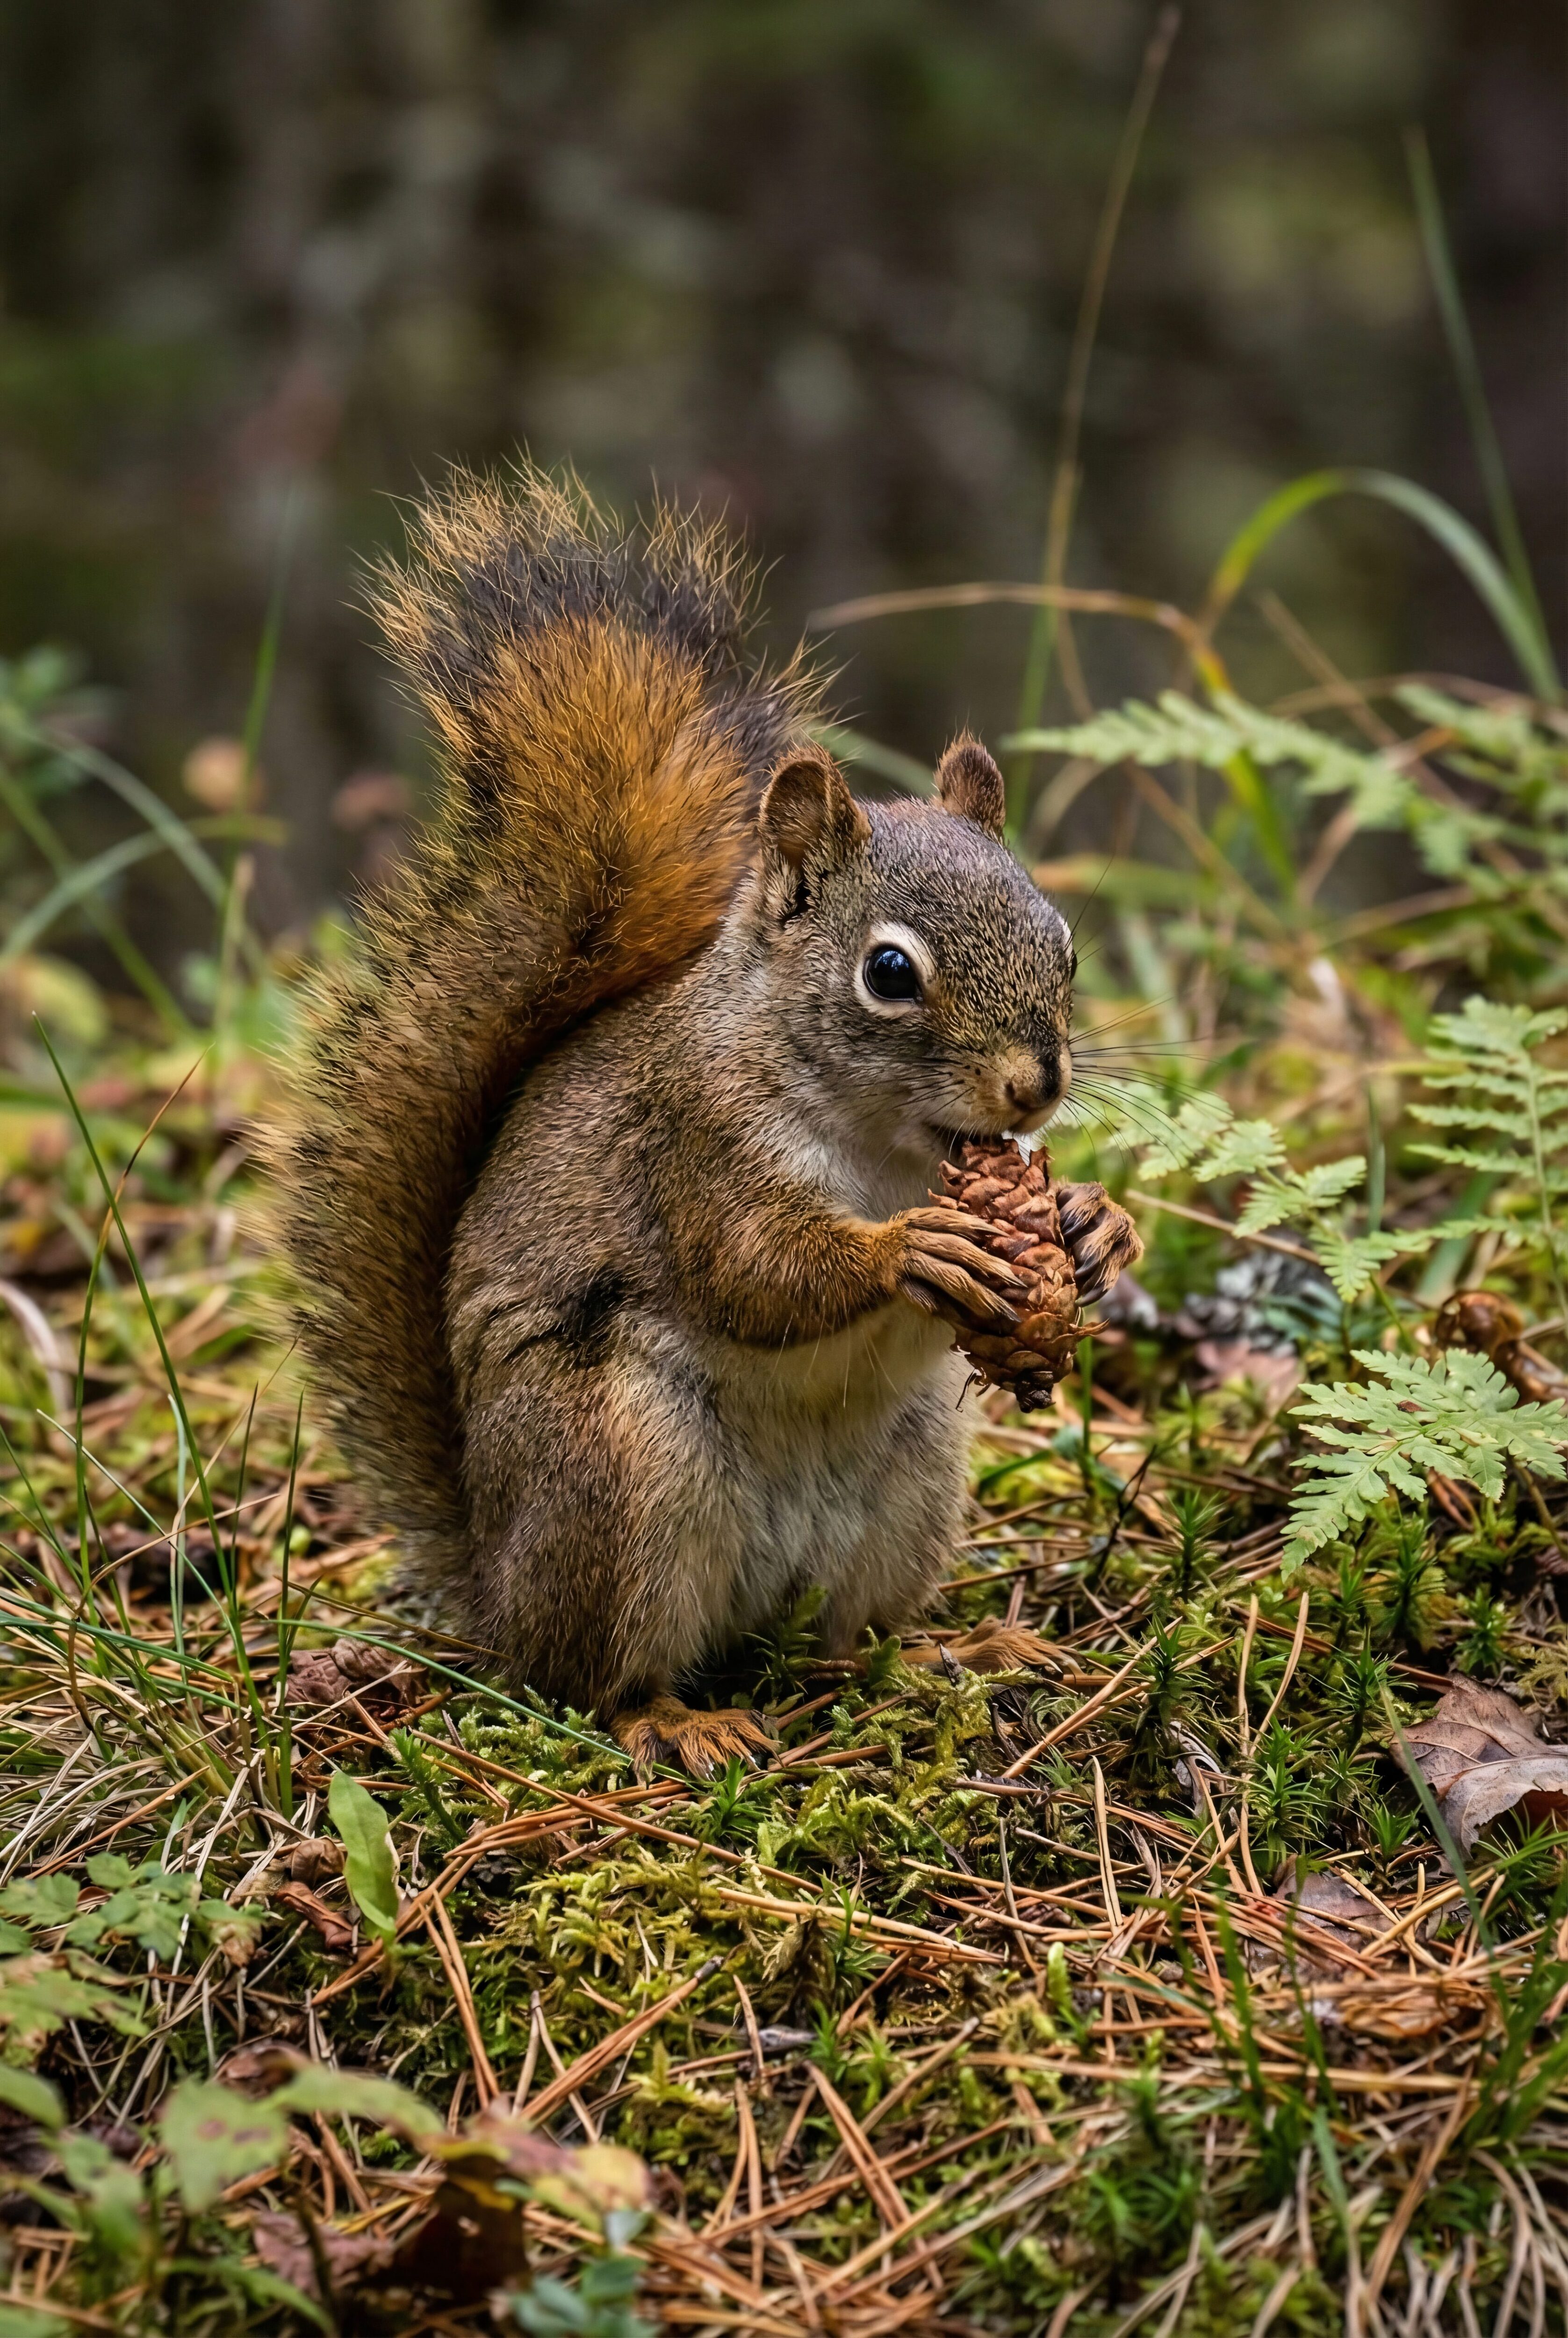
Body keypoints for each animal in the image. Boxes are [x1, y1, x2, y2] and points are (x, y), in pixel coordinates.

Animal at [272, 465, 1135, 1774]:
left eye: (1068, 946)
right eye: (889, 972)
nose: (1035, 1089)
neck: (892, 1147)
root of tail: (497, 1588)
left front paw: (1092, 1224)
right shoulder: (691, 1140)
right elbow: (753, 1271)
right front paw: (914, 1248)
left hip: (913, 1480)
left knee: (854, 1638)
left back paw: (959, 1648)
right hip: (620, 1474)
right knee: (594, 1679)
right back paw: (680, 1723)